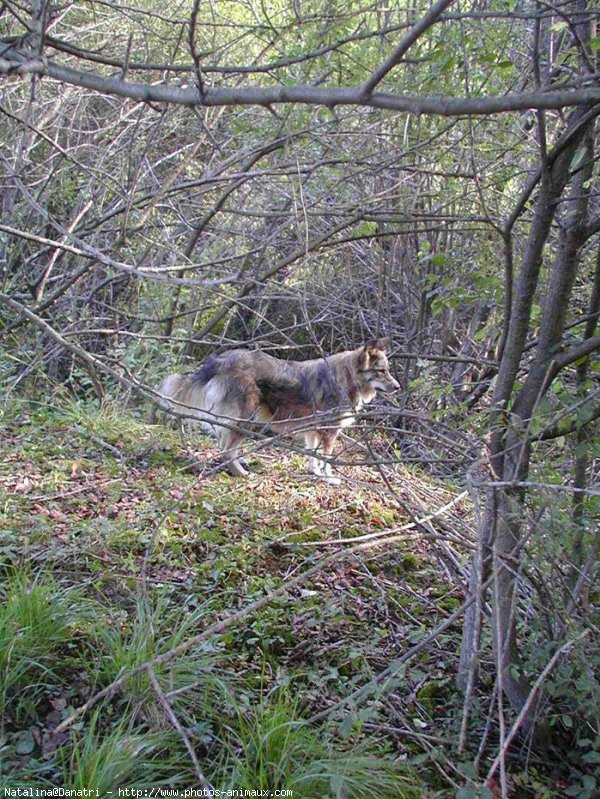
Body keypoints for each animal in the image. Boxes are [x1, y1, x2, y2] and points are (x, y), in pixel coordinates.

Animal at [156, 338, 398, 482]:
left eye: (387, 370)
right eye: (381, 371)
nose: (398, 387)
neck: (347, 377)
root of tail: (219, 360)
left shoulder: (313, 431)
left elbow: (313, 455)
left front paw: (314, 472)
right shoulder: (329, 431)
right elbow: (327, 459)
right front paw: (328, 477)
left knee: (224, 445)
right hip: (245, 418)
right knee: (227, 449)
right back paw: (241, 472)